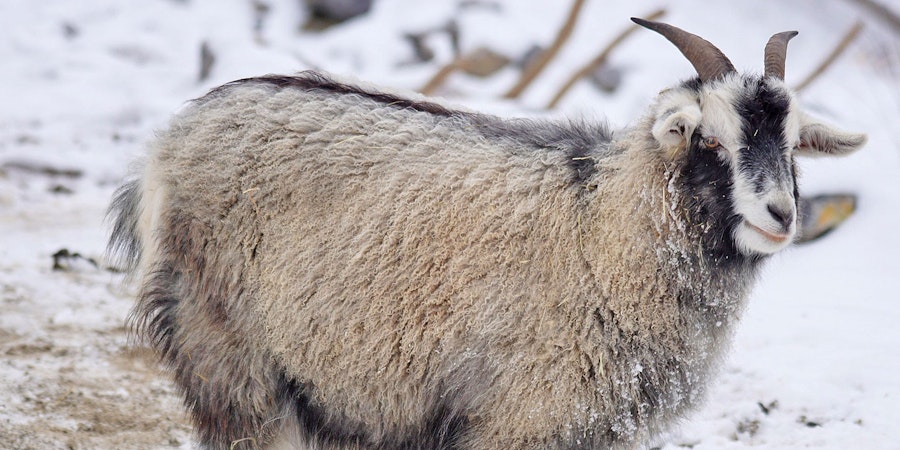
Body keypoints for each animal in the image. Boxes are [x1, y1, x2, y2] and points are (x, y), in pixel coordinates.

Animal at [108, 19, 866, 449]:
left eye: (793, 146)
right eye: (707, 139)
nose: (781, 214)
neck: (600, 229)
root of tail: (166, 145)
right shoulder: (521, 414)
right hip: (229, 354)